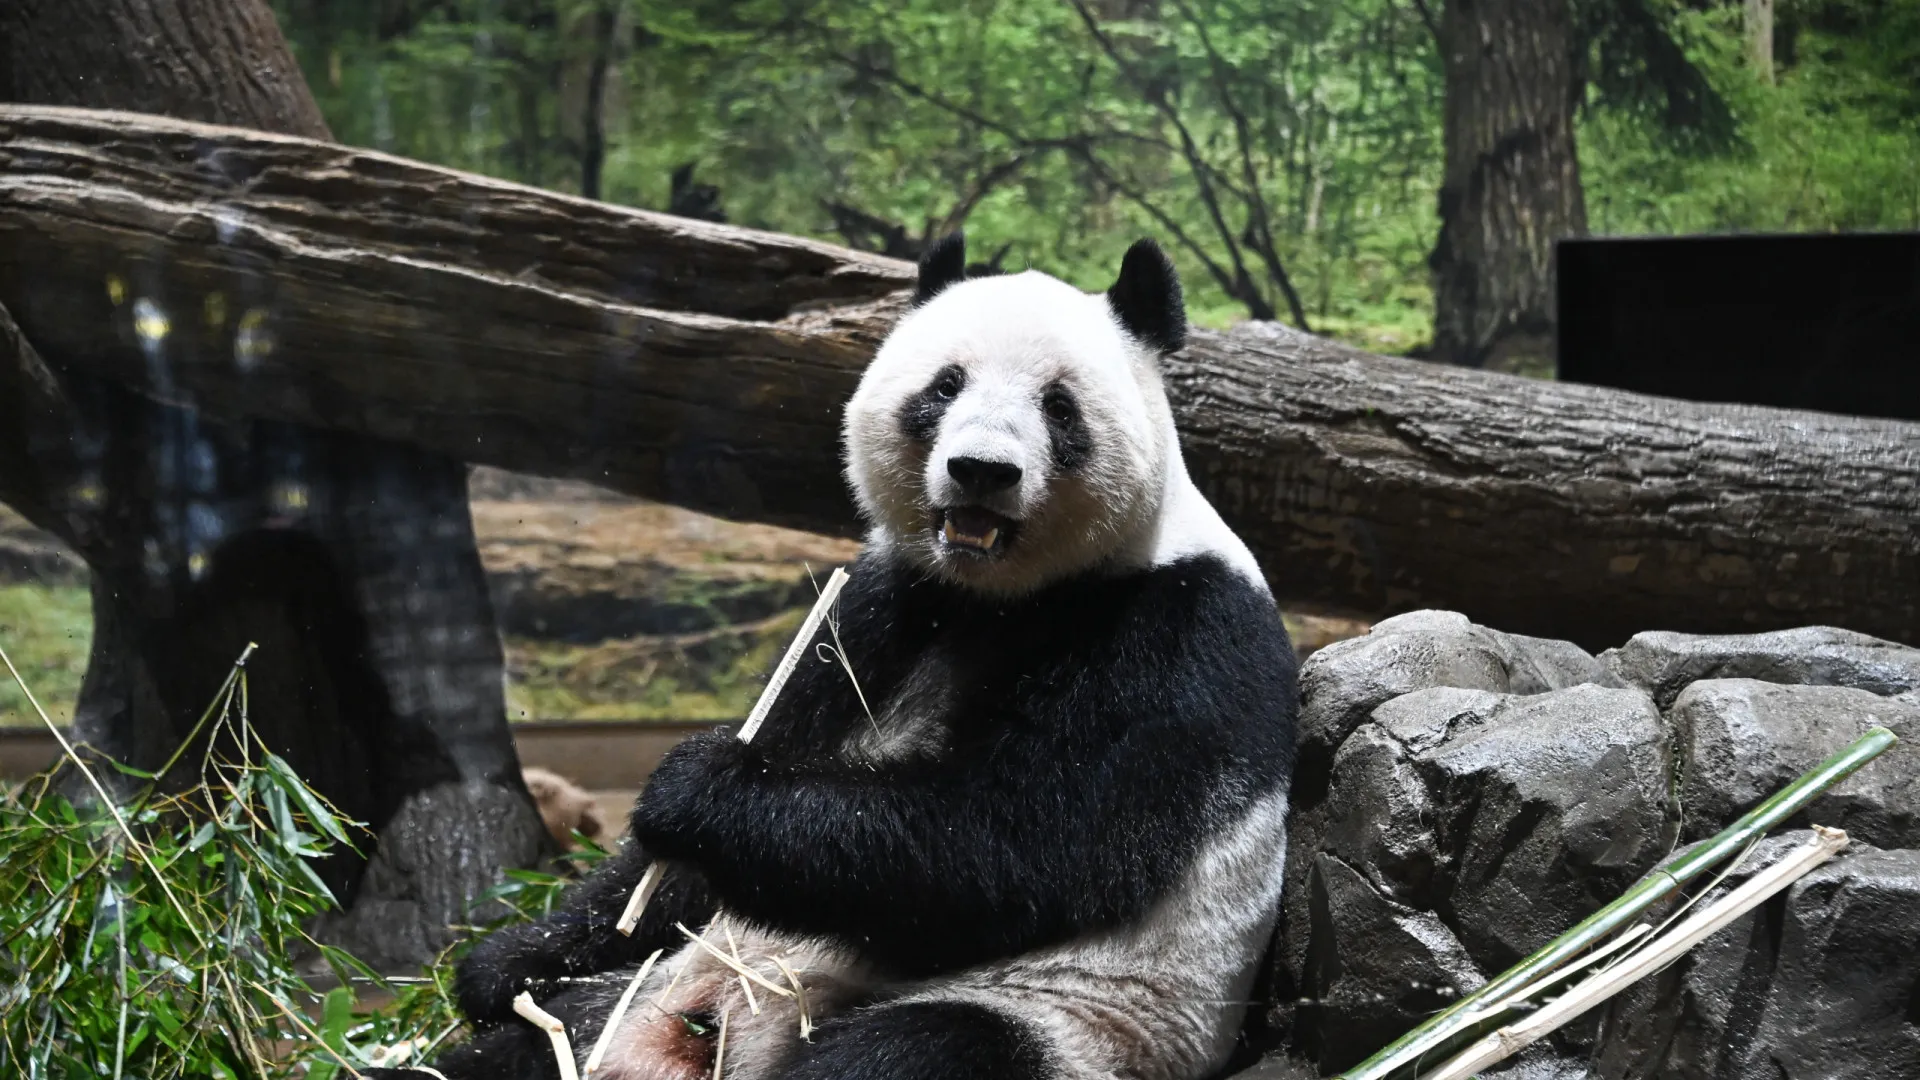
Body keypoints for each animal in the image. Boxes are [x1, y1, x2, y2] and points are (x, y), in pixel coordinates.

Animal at [370, 234, 1298, 1080]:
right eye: (945, 385)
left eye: (1060, 406)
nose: (981, 471)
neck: (1001, 595)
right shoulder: (885, 603)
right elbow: (687, 860)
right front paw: (506, 963)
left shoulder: (1173, 634)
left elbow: (1018, 838)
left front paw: (699, 789)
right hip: (635, 998)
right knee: (525, 1049)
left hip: (1070, 1026)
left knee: (921, 1052)